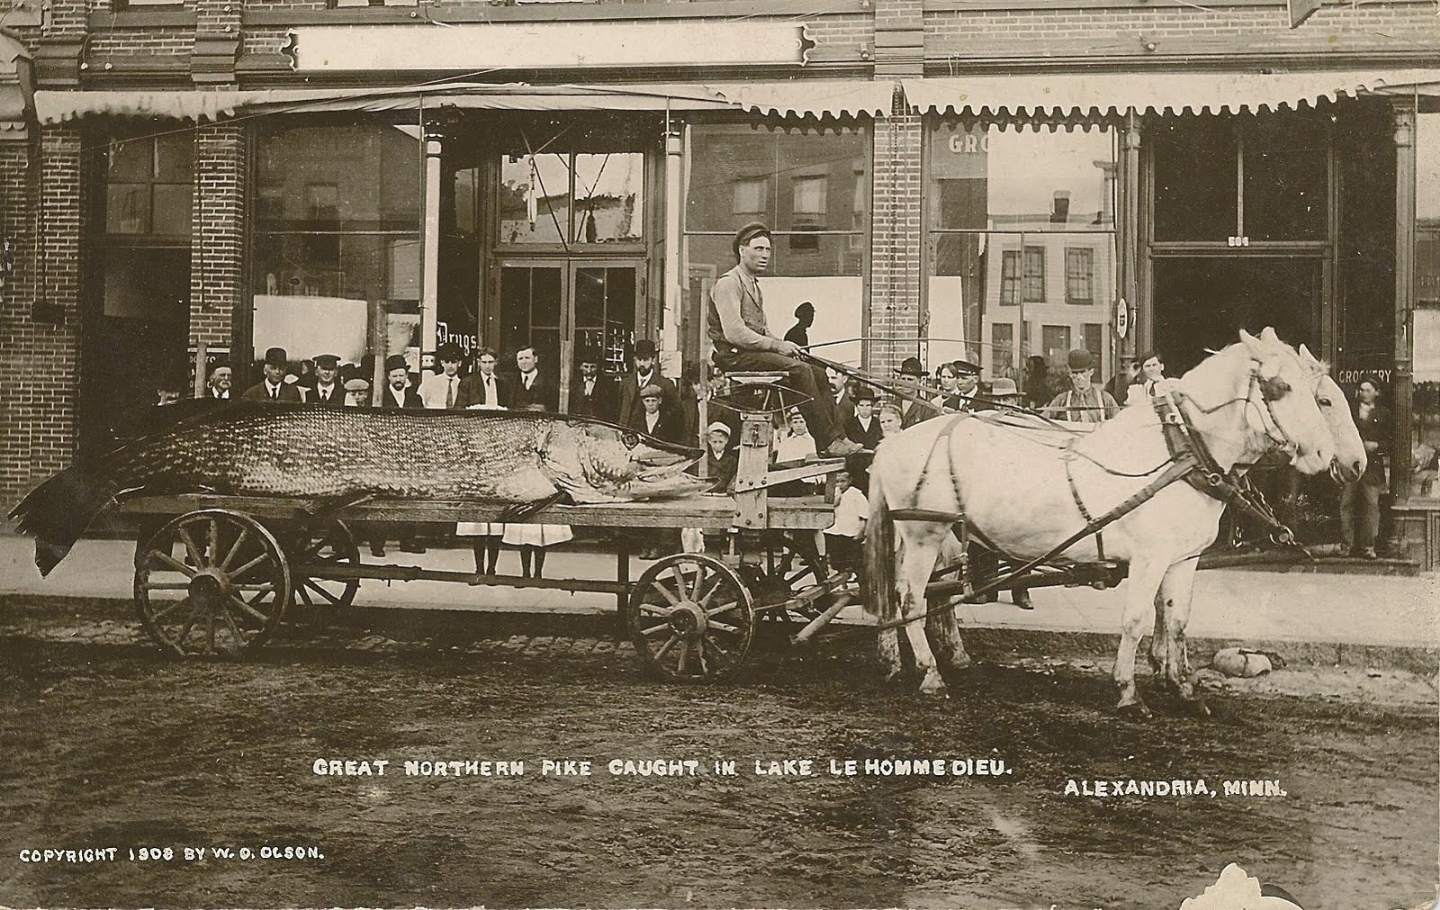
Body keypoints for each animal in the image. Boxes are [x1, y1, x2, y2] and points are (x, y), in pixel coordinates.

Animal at [864, 331, 1359, 714]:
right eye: (1281, 388)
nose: (1346, 462)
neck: (1181, 450)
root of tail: (891, 445)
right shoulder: (1149, 558)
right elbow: (1136, 619)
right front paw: (1128, 691)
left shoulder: (1182, 559)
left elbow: (1176, 621)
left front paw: (1182, 689)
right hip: (925, 534)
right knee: (911, 599)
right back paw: (930, 673)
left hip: (925, 537)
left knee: (904, 594)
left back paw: (897, 660)